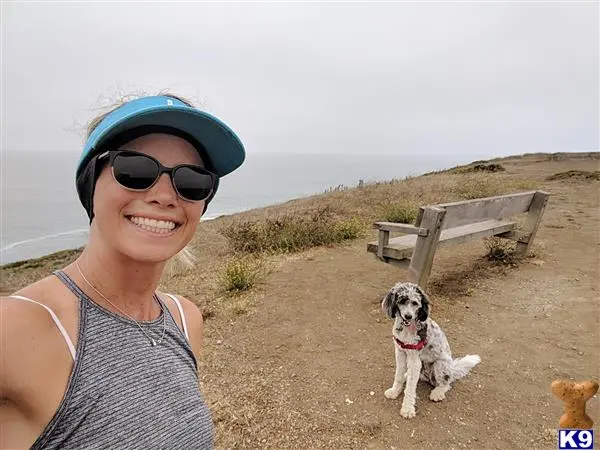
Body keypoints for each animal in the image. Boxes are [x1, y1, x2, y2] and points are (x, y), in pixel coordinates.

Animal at [382, 282, 480, 418]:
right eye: (401, 301)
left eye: (415, 303)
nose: (408, 316)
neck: (406, 330)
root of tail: (453, 370)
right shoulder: (400, 353)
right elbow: (398, 376)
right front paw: (394, 391)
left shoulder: (414, 361)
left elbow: (410, 388)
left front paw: (407, 409)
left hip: (440, 365)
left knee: (446, 383)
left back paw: (437, 393)